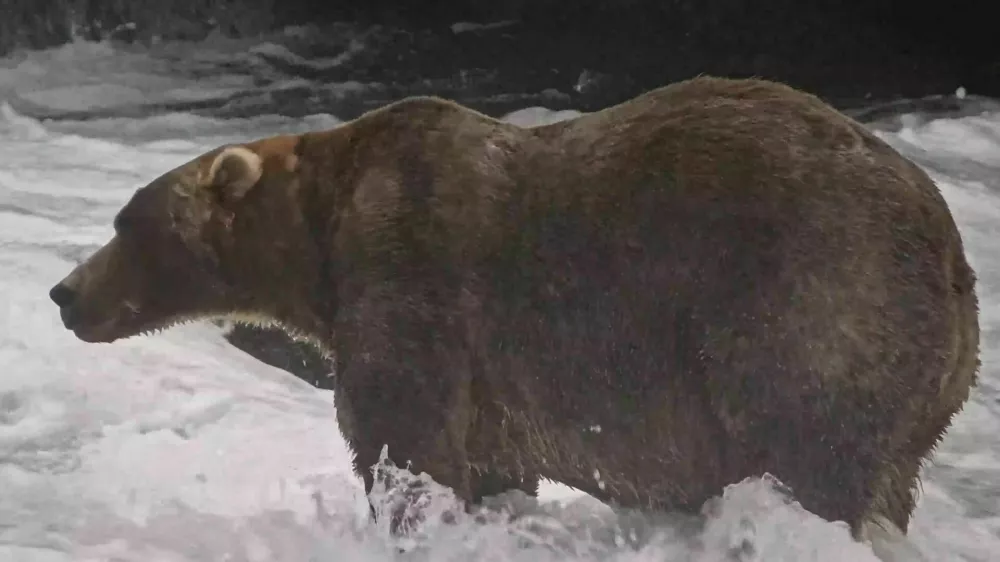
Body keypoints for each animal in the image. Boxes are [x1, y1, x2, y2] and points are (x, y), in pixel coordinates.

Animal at [49, 76, 979, 546]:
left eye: (126, 222)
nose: (64, 293)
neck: (319, 239)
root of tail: (950, 249)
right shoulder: (491, 381)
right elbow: (490, 467)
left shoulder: (412, 277)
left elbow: (405, 441)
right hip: (921, 387)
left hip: (809, 305)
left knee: (810, 453)